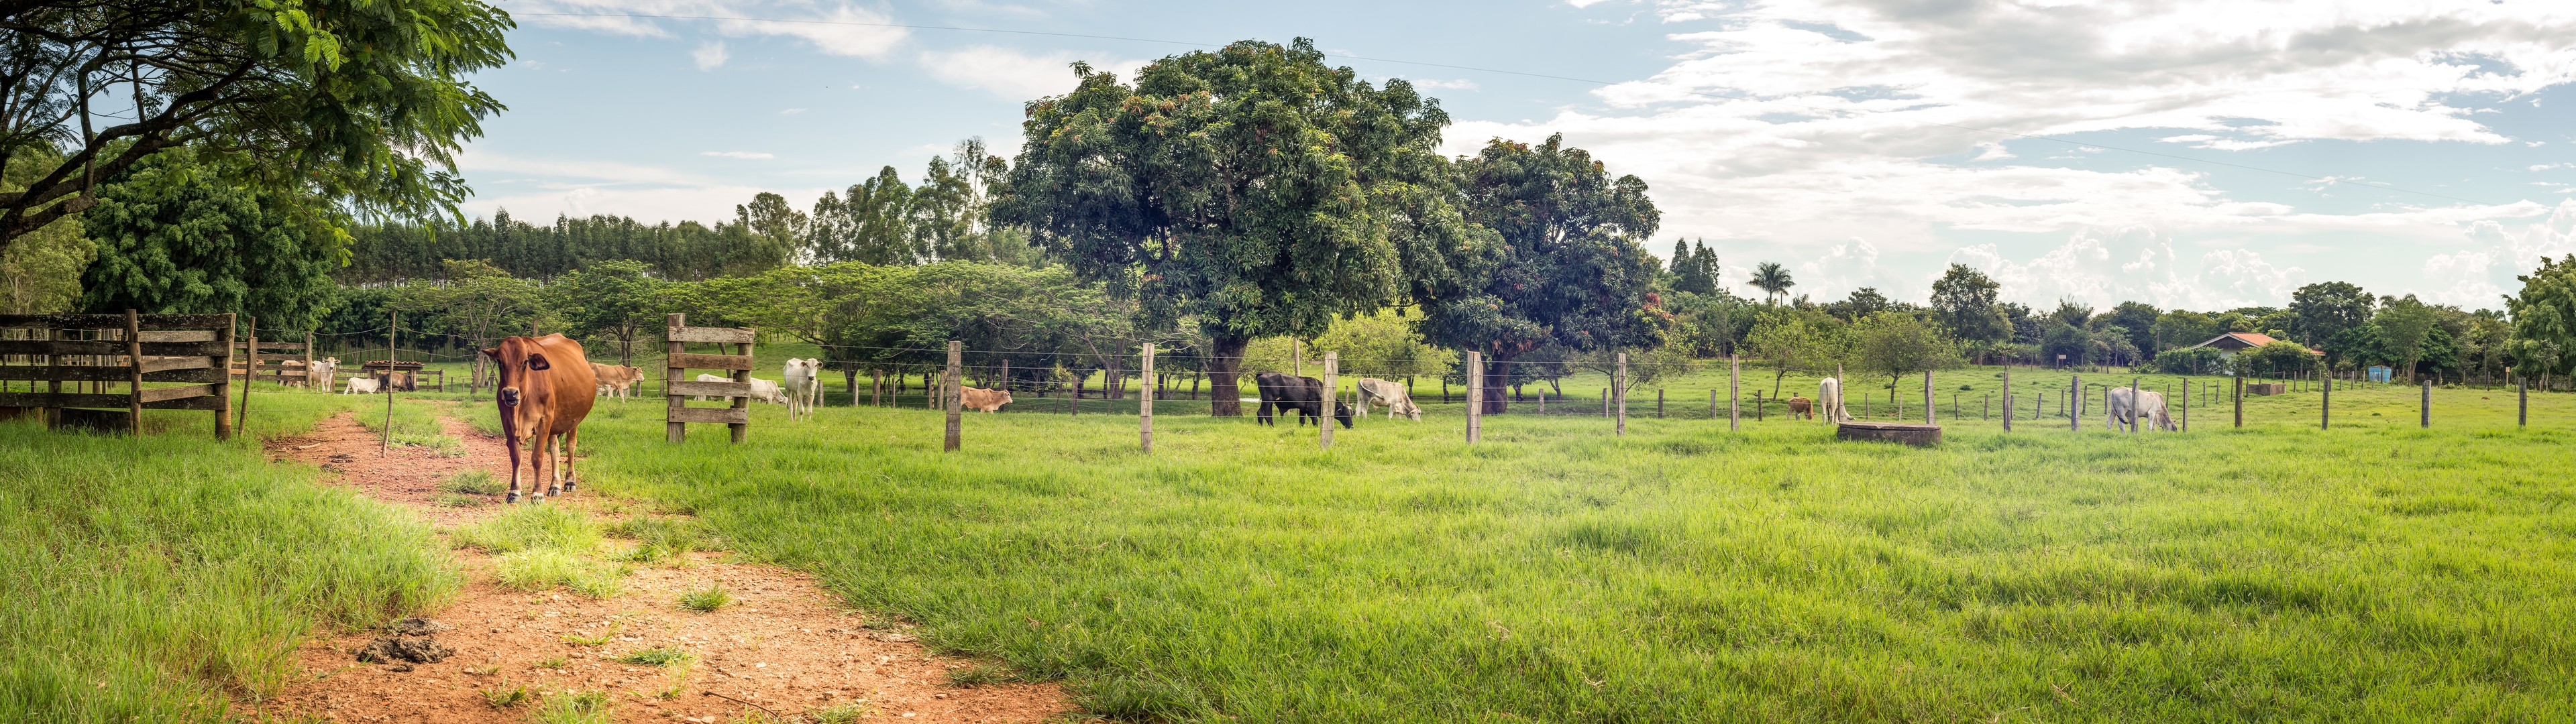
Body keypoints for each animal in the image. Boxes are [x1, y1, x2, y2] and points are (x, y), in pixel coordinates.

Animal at [476, 332, 590, 502]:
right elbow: (516, 456)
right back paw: (555, 485)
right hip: (554, 425)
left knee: (570, 447)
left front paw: (537, 494)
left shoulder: (544, 421)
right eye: (500, 362)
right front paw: (514, 492)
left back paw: (570, 482)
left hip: (573, 420)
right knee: (555, 450)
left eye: (525, 362)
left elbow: (537, 457)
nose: (510, 393)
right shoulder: (507, 422)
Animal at [1256, 371, 1360, 428]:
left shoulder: (1303, 409)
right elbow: (1315, 421)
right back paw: (1261, 427)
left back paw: (1272, 428)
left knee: (1268, 416)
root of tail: (1263, 374)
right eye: (1346, 414)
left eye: (1352, 414)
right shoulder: (1312, 408)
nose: (1352, 426)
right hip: (1267, 400)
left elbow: (1302, 422)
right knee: (1261, 413)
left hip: (1270, 403)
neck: (1319, 388)